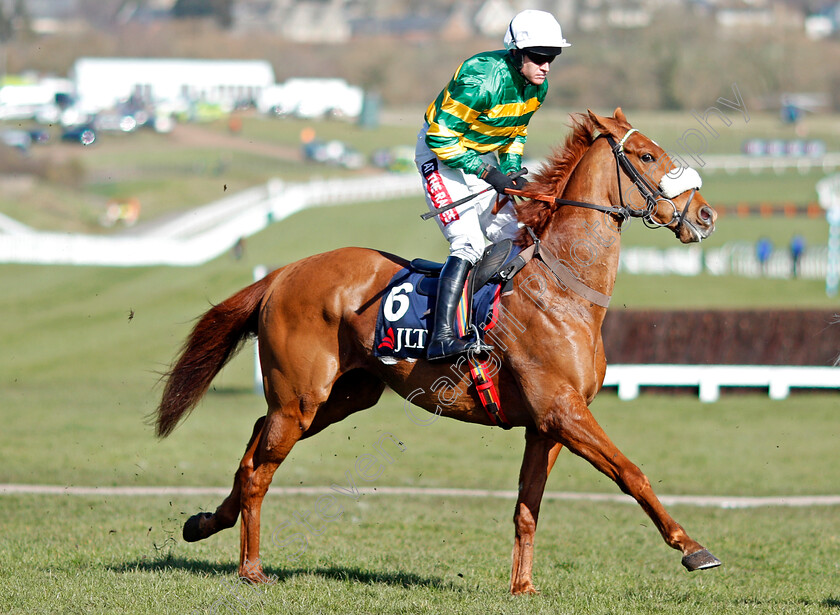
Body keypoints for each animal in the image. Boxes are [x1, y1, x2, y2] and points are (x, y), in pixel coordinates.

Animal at [156, 108, 720, 596]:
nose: (706, 214)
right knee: (260, 471)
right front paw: (692, 548)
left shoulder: (547, 425)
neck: (565, 287)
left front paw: (522, 586)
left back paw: (204, 523)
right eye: (647, 155)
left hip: (343, 397)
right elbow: (632, 473)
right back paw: (250, 569)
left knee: (254, 445)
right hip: (301, 398)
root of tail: (284, 273)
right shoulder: (564, 412)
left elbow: (527, 507)